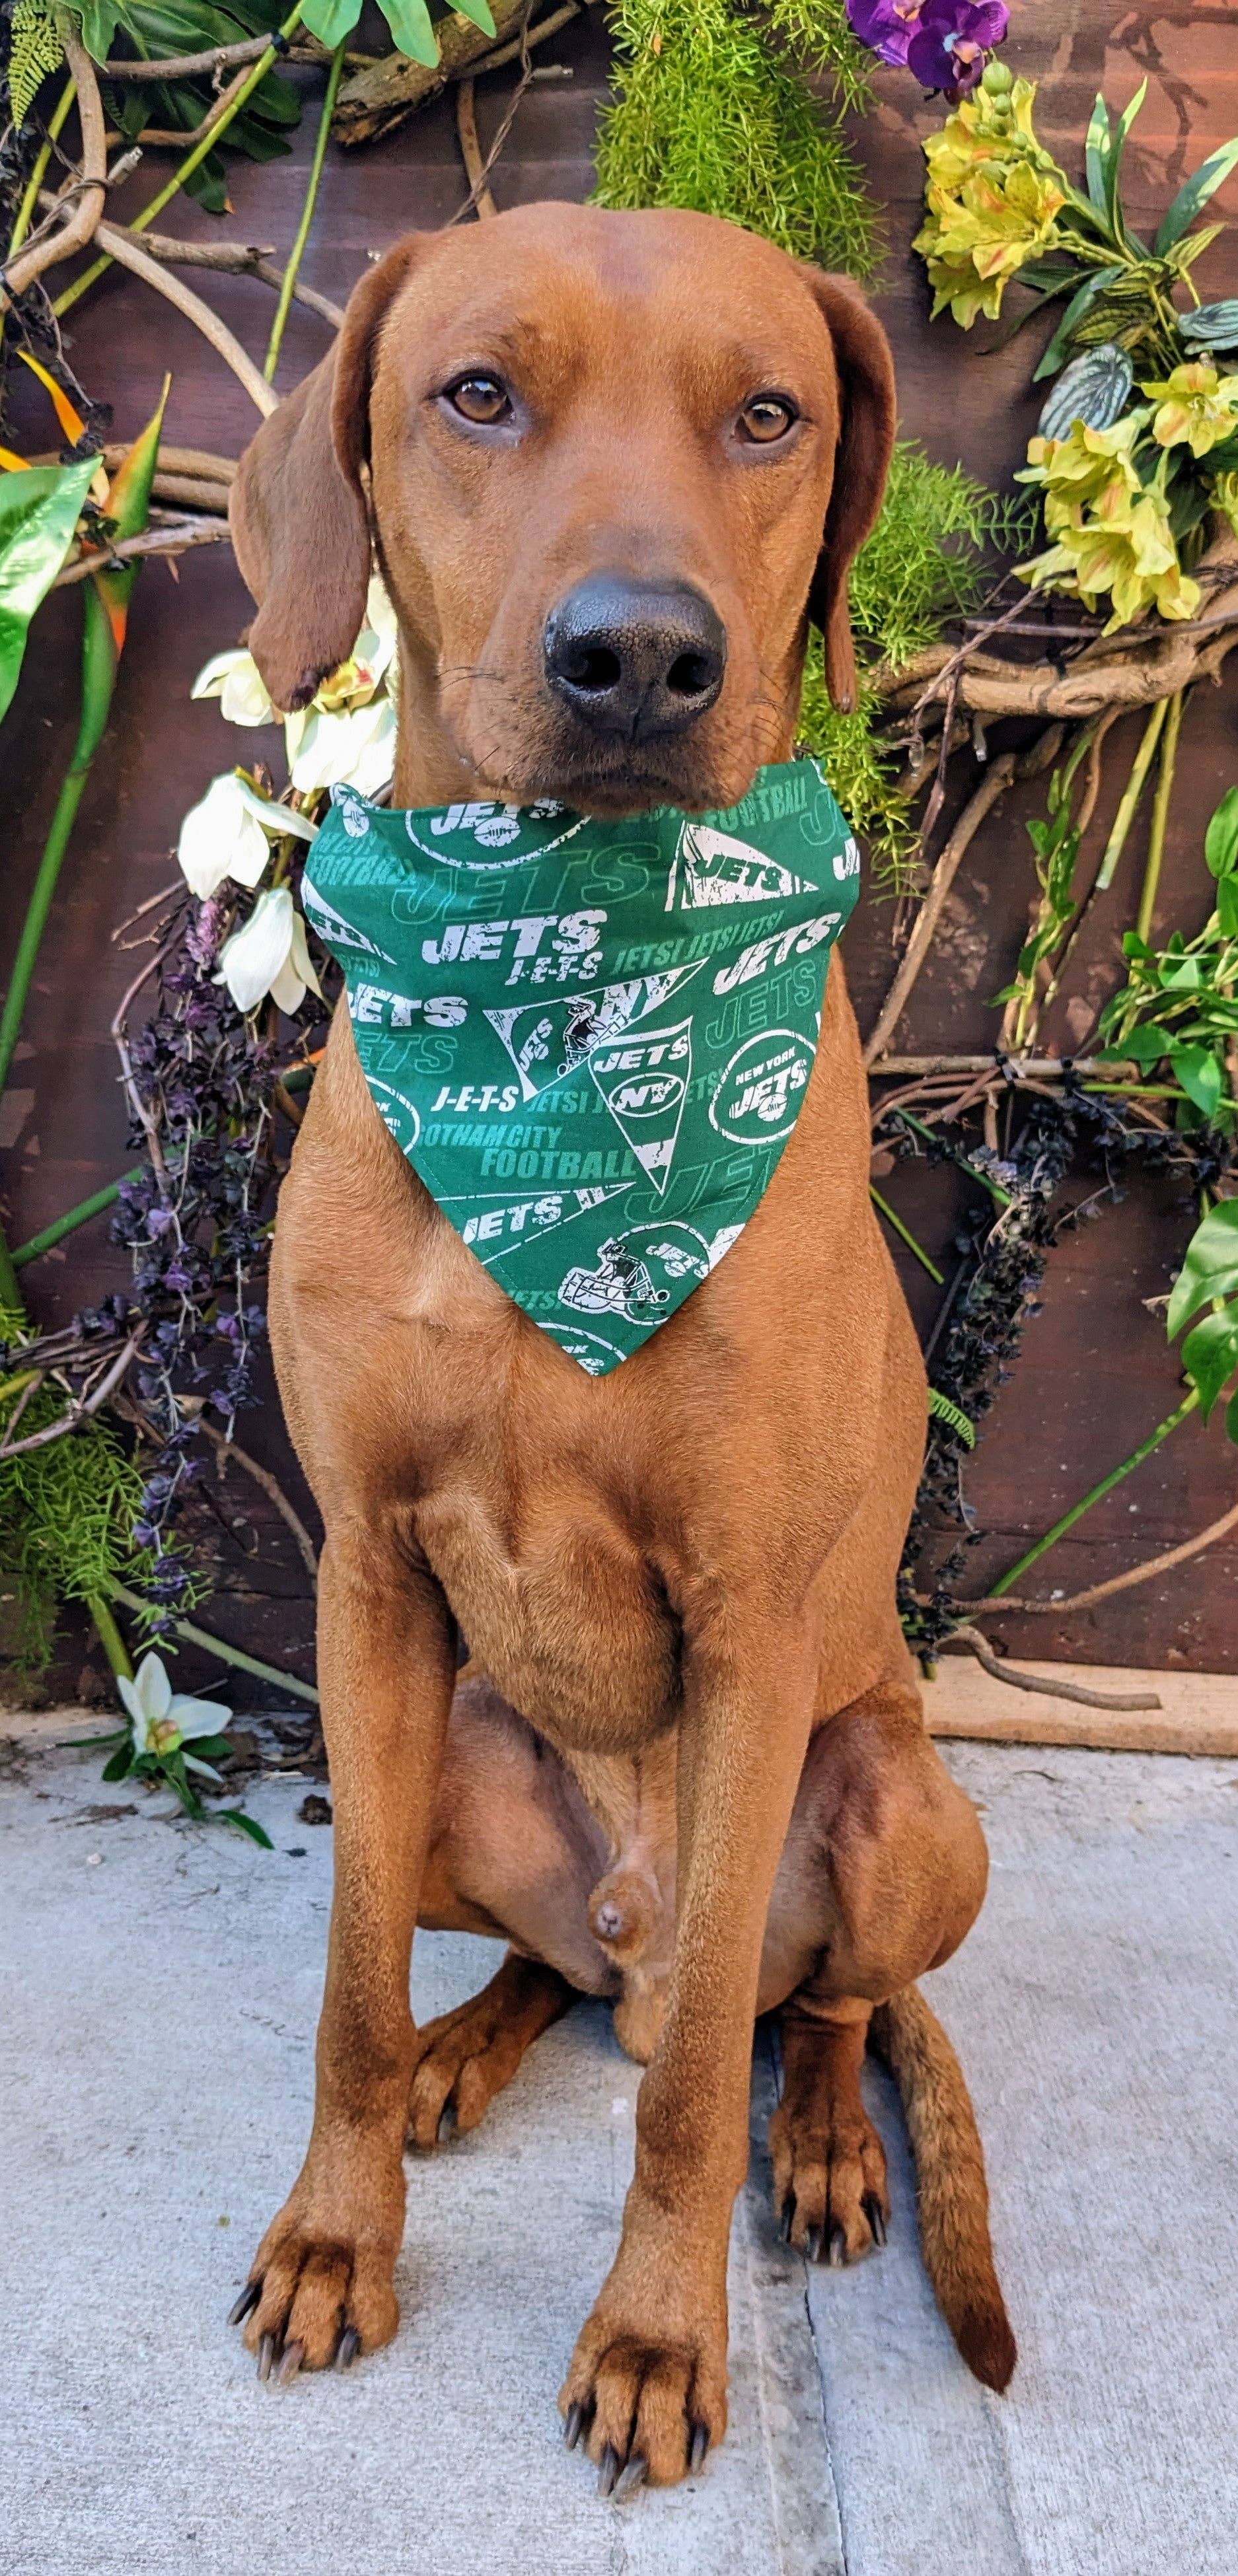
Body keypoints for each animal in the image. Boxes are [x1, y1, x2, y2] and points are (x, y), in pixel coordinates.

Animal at [226, 201, 1009, 2493]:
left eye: (767, 416)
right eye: (477, 394)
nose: (640, 661)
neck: (567, 1013)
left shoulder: (748, 1623)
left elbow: (679, 2116)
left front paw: (662, 2336)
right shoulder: (365, 1582)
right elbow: (343, 1983)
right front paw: (336, 2233)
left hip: (907, 1806)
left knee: (787, 2013)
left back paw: (824, 2139)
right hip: (454, 1764)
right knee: (551, 1979)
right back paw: (468, 2044)